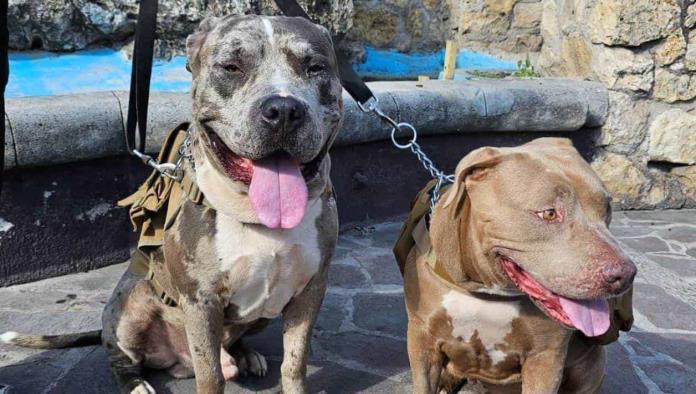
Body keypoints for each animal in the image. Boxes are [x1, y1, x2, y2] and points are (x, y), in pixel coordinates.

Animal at [2, 14, 344, 394]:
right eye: (231, 66)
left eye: (315, 67)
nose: (283, 109)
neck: (258, 217)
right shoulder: (201, 300)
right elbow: (210, 377)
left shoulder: (310, 291)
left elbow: (294, 363)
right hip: (130, 307)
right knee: (121, 356)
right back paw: (136, 383)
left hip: (260, 316)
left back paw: (244, 355)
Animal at [402, 137, 636, 392]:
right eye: (549, 213)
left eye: (607, 208)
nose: (626, 275)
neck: (487, 291)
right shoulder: (422, 340)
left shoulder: (546, 357)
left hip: (591, 362)